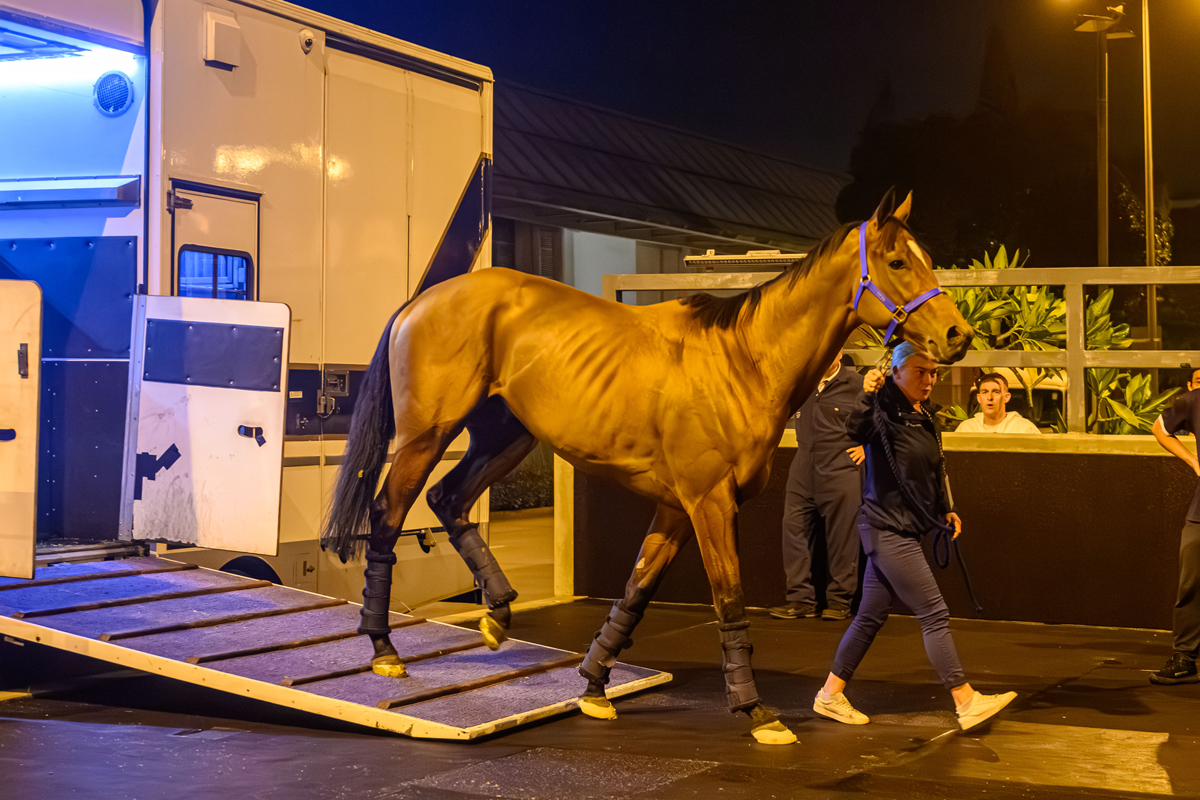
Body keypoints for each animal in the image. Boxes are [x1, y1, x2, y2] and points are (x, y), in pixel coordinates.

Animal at [321, 189, 974, 743]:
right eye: (897, 261)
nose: (958, 334)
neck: (743, 361)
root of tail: (421, 301)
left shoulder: (677, 508)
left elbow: (636, 590)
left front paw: (592, 685)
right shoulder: (710, 503)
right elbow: (728, 601)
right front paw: (754, 710)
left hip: (506, 436)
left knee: (448, 499)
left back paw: (498, 612)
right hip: (424, 436)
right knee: (388, 514)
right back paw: (383, 648)